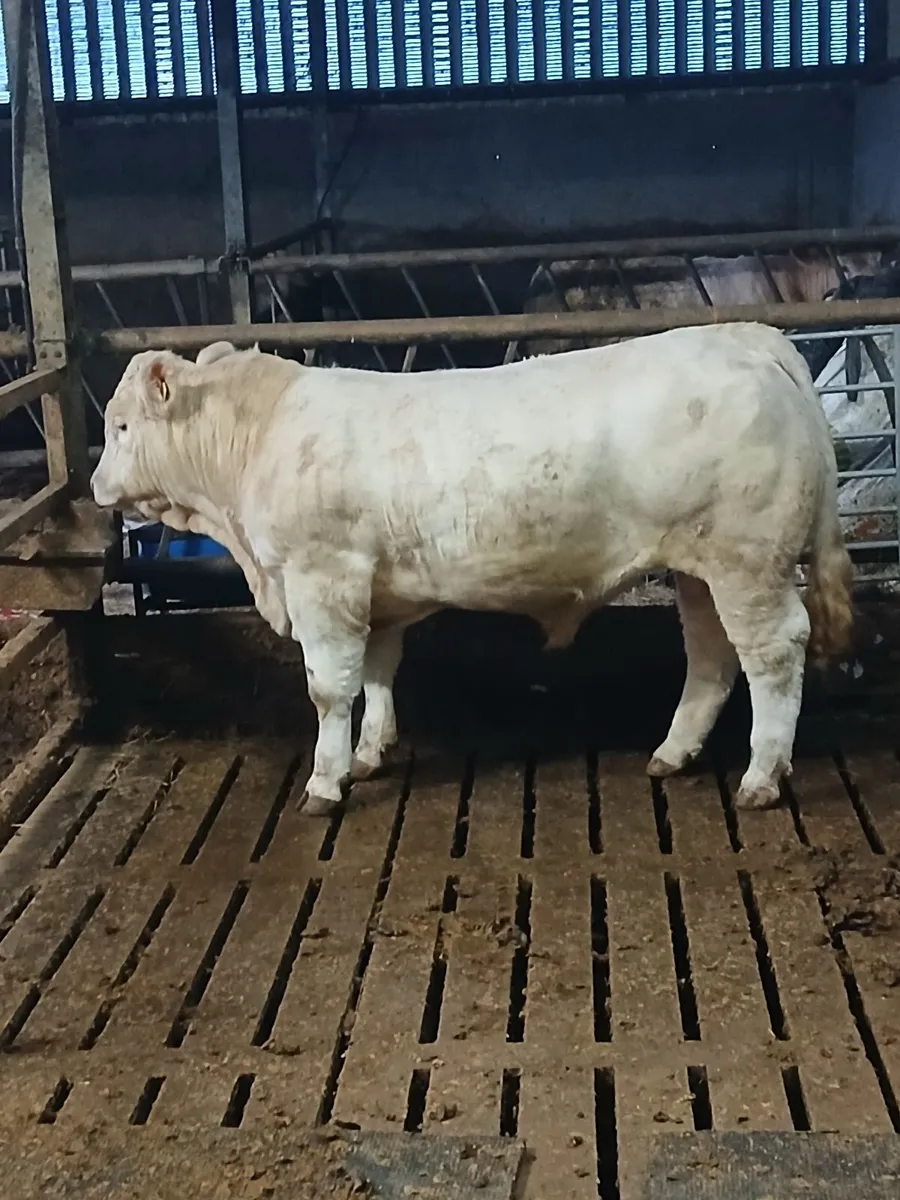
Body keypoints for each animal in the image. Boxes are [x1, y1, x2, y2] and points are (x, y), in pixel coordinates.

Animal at [91, 322, 853, 815]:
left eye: (121, 427)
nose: (96, 486)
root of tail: (746, 338)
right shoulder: (373, 592)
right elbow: (377, 672)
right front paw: (370, 754)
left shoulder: (322, 578)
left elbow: (329, 689)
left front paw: (325, 782)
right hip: (699, 565)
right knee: (712, 654)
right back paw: (674, 752)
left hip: (748, 560)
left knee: (774, 652)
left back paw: (761, 777)